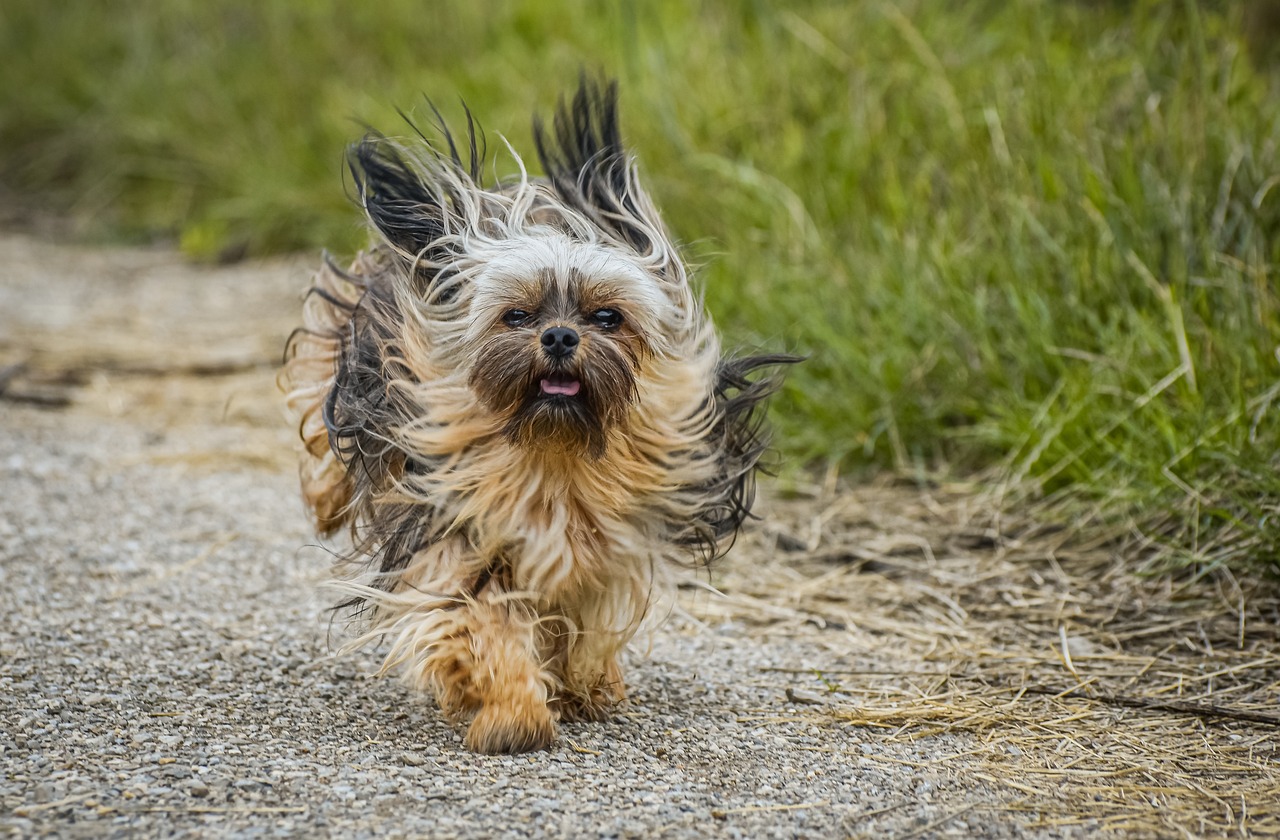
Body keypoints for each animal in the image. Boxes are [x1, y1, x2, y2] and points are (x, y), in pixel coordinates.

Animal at [285, 75, 793, 752]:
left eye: (607, 316)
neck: (553, 452)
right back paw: (324, 501)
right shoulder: (457, 533)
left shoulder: (601, 558)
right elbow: (480, 623)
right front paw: (511, 715)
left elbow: (578, 626)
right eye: (517, 316)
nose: (558, 336)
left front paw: (580, 686)